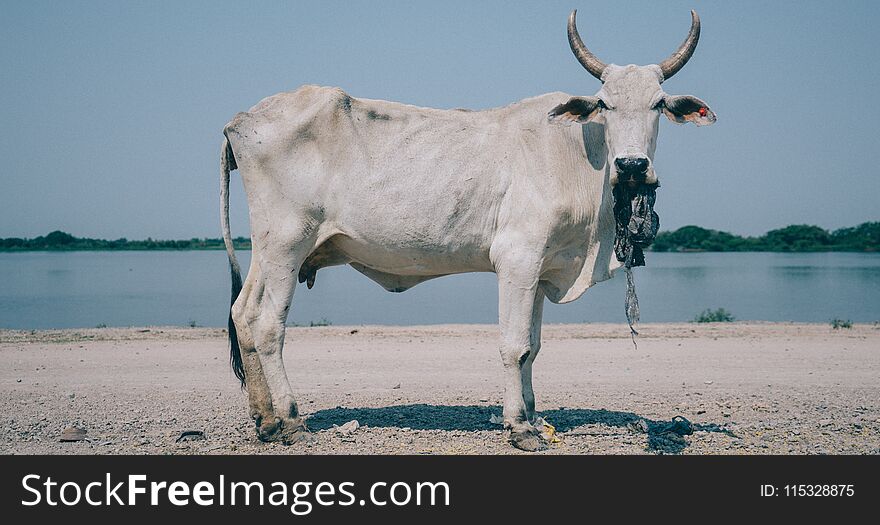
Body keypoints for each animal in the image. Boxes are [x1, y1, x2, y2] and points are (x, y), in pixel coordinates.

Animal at [220, 10, 716, 448]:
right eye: (605, 104)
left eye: (658, 104)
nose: (633, 166)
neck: (579, 155)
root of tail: (240, 120)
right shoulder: (517, 258)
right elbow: (514, 345)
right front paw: (520, 428)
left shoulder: (542, 269)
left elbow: (534, 346)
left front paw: (532, 414)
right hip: (287, 244)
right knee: (269, 325)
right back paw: (290, 421)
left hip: (269, 248)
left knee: (244, 313)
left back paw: (265, 420)